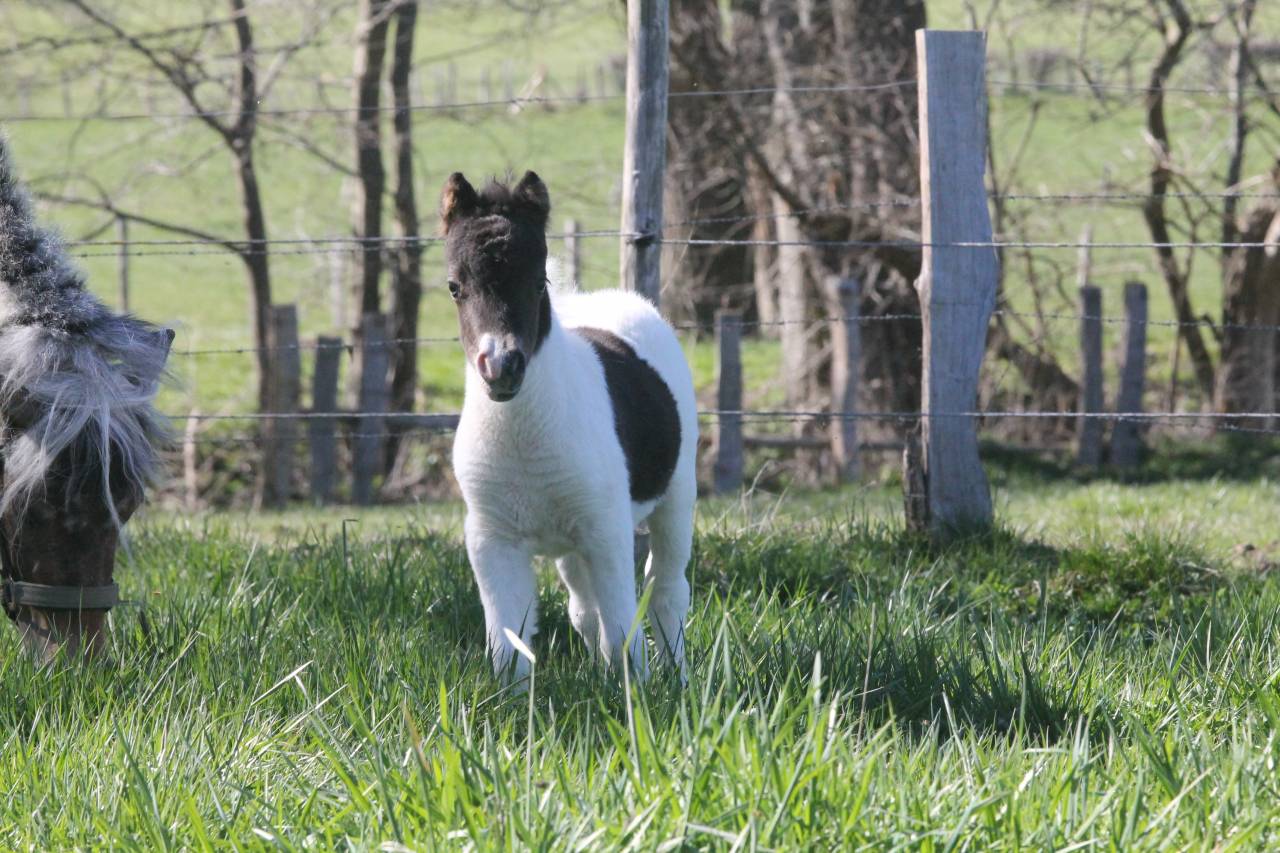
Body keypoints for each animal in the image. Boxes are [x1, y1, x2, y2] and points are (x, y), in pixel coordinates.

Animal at [441, 170, 697, 684]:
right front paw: (511, 703)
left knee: (666, 592)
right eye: (455, 286)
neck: (523, 437)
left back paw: (678, 678)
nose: (501, 368)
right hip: (570, 544)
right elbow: (509, 644)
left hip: (676, 496)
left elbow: (624, 629)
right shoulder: (491, 539)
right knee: (584, 607)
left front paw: (636, 696)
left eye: (539, 281)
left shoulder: (606, 530)